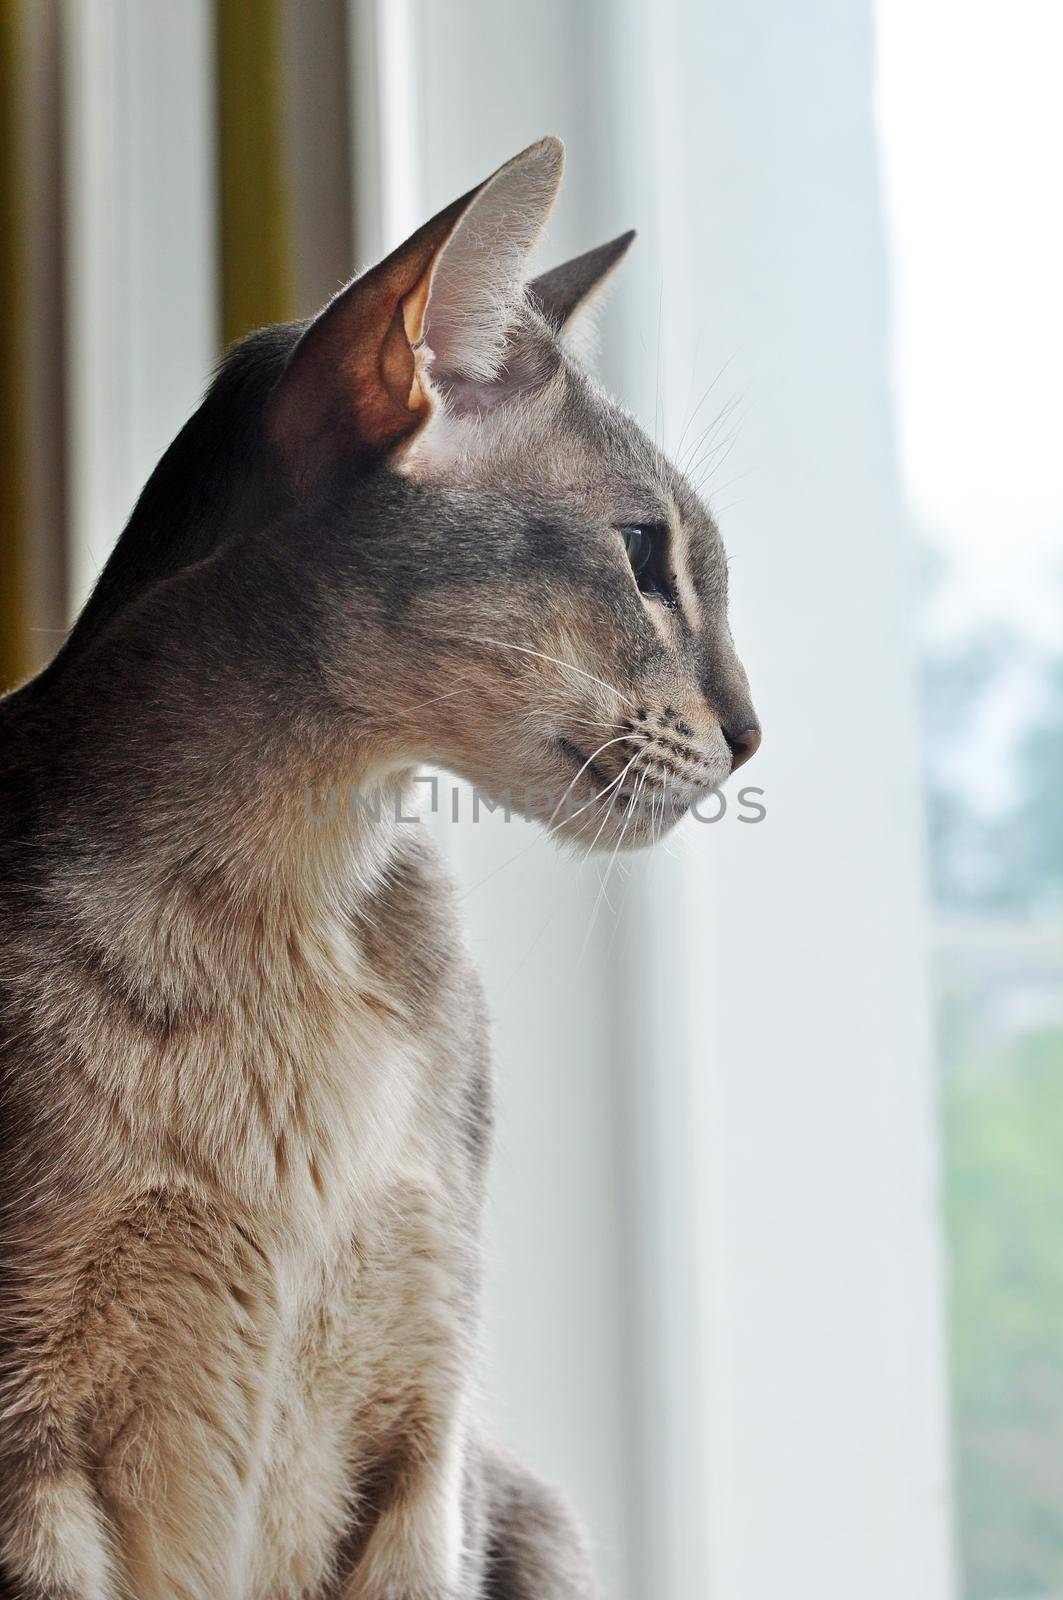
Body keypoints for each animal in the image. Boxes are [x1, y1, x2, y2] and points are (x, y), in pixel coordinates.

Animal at [0, 140, 755, 1600]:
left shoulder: (425, 1433)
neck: (287, 903)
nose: (752, 735)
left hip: (535, 1511)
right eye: (645, 557)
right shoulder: (30, 1440)